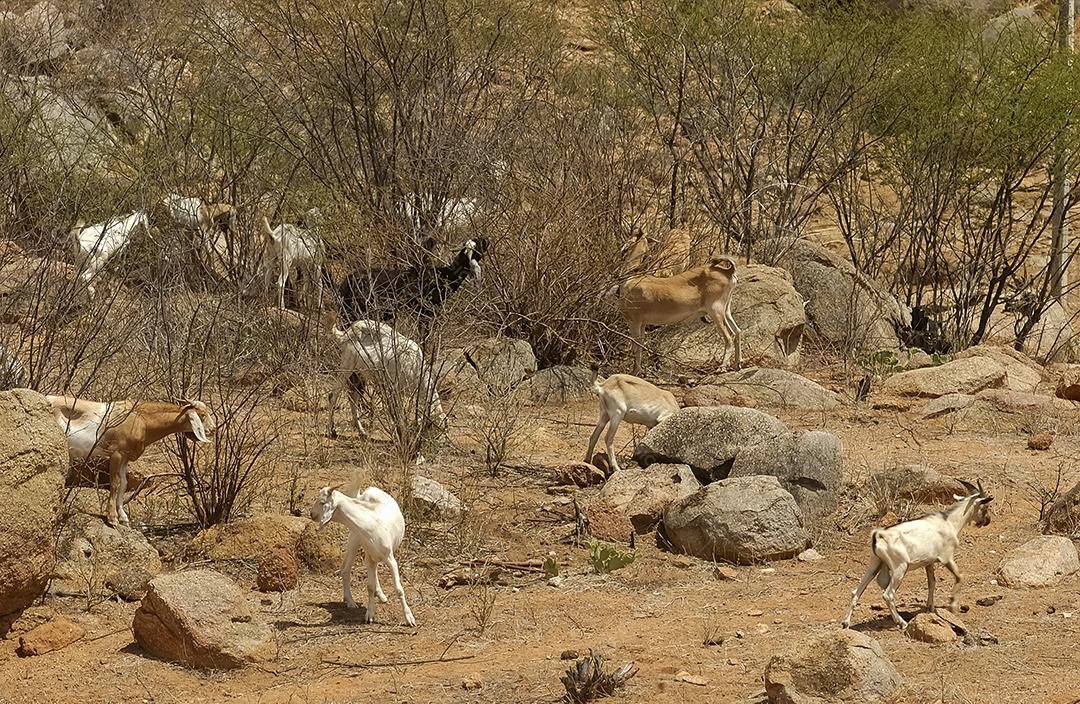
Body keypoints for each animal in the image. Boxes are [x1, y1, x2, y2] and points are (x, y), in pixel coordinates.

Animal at [46, 396, 215, 526]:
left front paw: (123, 517)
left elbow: (124, 484)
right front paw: (112, 518)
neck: (140, 419)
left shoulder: (125, 458)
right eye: (202, 415)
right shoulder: (116, 453)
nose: (213, 429)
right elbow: (114, 483)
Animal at [309, 484, 416, 626]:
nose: (312, 514)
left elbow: (399, 589)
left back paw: (381, 596)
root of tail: (368, 491)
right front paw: (369, 614)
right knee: (346, 569)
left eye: (322, 502)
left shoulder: (390, 559)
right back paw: (351, 601)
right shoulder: (369, 557)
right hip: (354, 540)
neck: (371, 527)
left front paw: (409, 618)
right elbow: (369, 587)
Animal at [841, 479, 993, 629]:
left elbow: (932, 582)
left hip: (875, 563)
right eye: (985, 507)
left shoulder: (929, 562)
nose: (987, 521)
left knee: (856, 591)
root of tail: (878, 534)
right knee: (888, 595)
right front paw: (952, 605)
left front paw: (930, 607)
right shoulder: (947, 557)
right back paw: (902, 622)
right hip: (900, 567)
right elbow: (959, 576)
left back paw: (846, 623)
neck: (950, 522)